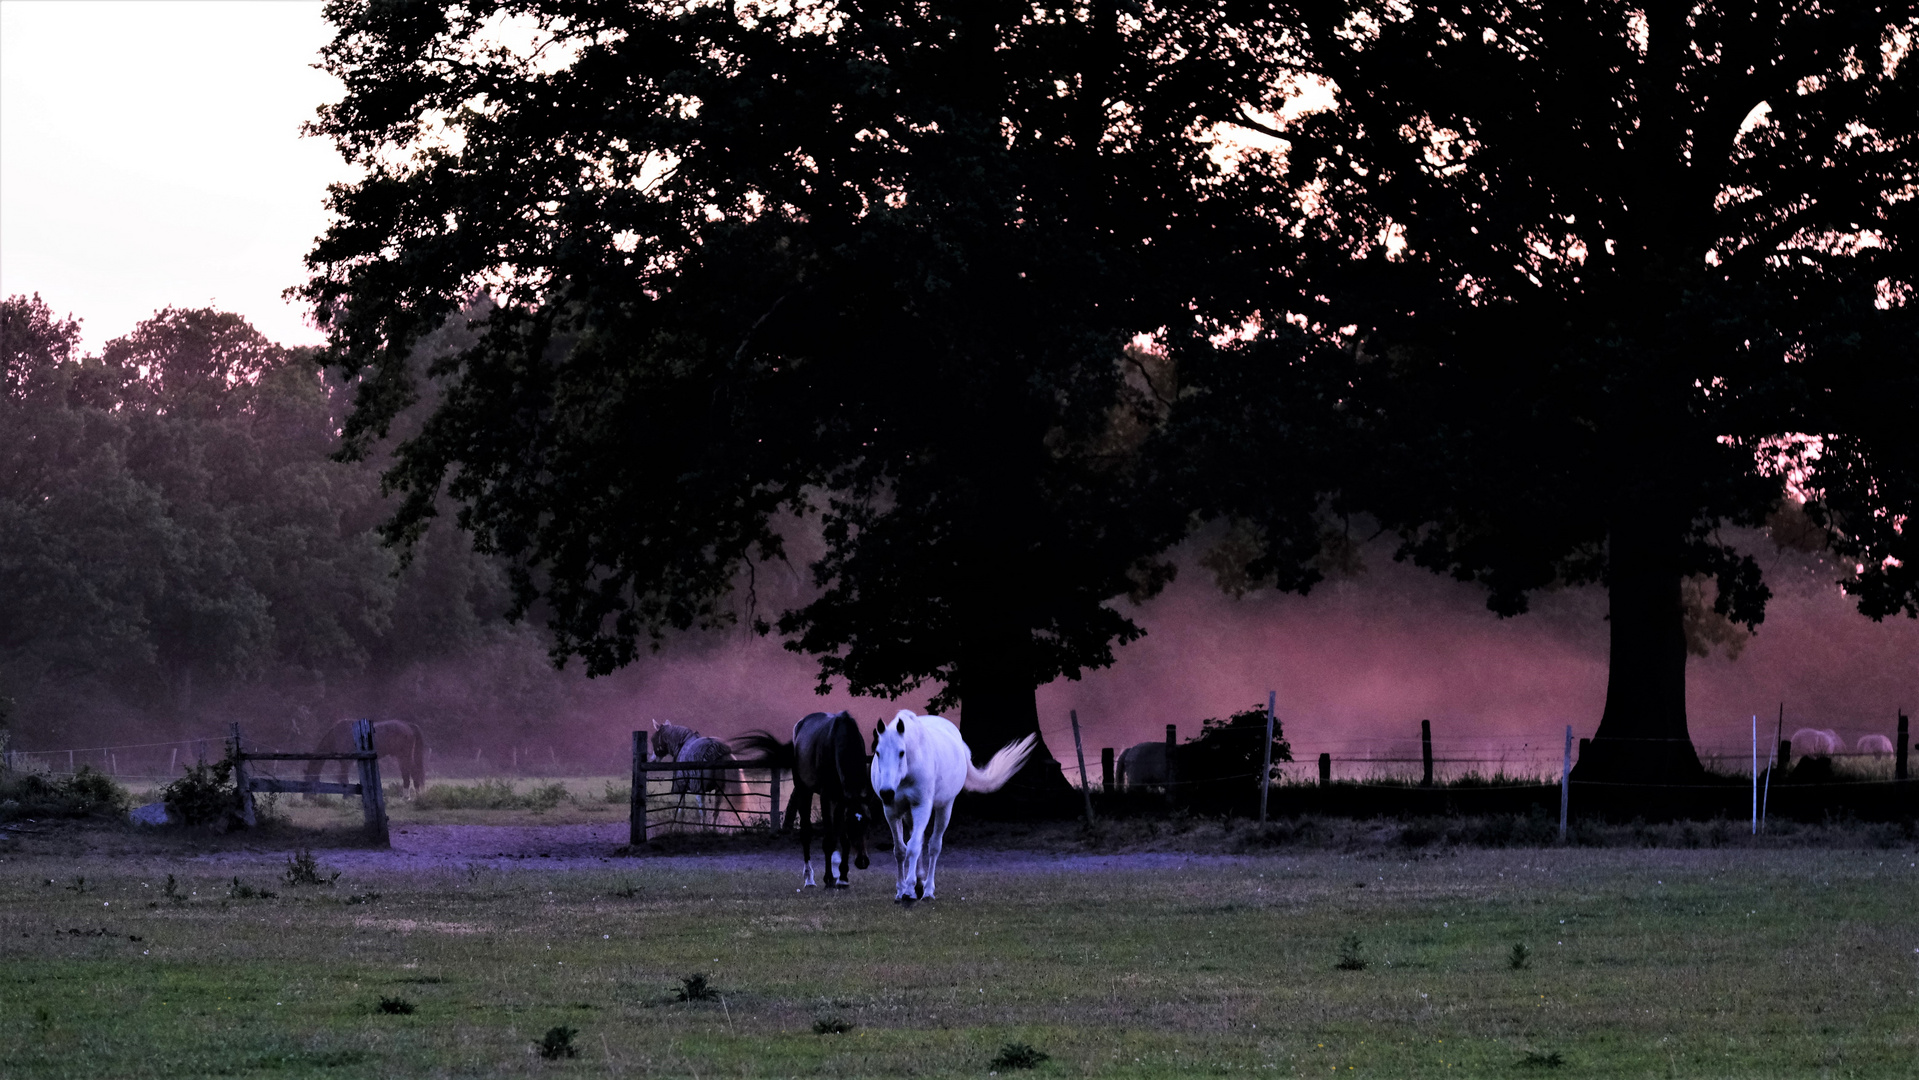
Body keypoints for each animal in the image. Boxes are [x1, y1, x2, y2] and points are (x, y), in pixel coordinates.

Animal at [733, 713, 878, 890]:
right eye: (851, 824)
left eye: (868, 822)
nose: (863, 861)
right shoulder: (826, 796)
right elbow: (829, 840)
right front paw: (829, 878)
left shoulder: (842, 800)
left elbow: (843, 839)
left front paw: (843, 877)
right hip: (803, 790)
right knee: (806, 833)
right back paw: (809, 879)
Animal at [871, 709, 1036, 905]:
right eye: (878, 753)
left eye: (901, 752)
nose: (886, 792)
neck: (909, 768)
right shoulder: (892, 811)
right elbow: (900, 850)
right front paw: (900, 890)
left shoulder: (922, 806)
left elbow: (913, 847)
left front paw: (909, 891)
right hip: (910, 814)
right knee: (918, 840)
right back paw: (920, 882)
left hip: (944, 808)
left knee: (934, 846)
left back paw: (927, 891)